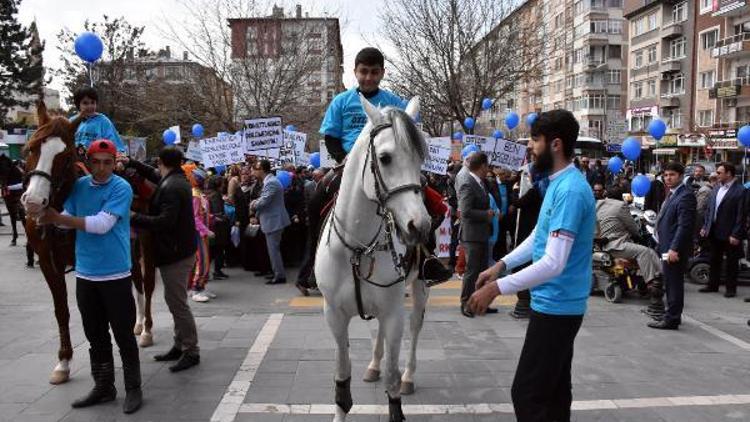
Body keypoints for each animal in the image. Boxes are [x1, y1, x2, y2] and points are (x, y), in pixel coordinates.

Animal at [316, 95, 434, 422]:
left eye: (420, 159)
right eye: (385, 158)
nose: (419, 226)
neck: (358, 247)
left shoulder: (394, 314)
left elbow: (392, 381)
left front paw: (398, 385)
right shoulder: (334, 315)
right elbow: (342, 377)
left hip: (419, 288)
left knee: (416, 327)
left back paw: (409, 376)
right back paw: (372, 366)